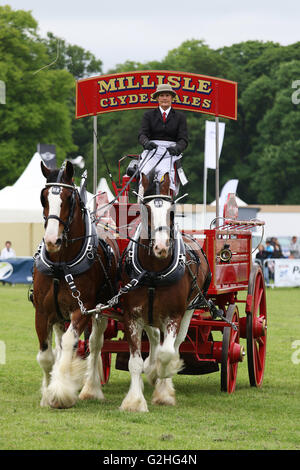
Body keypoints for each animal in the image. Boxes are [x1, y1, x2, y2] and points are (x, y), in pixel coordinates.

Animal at [31, 162, 118, 408]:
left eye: (69, 198)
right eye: (43, 197)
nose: (52, 240)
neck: (61, 265)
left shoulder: (82, 309)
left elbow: (72, 342)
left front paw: (60, 391)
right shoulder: (42, 312)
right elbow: (47, 355)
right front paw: (47, 393)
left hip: (101, 310)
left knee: (95, 344)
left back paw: (91, 388)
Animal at [118, 173, 210, 412]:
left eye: (171, 210)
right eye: (145, 209)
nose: (161, 248)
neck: (153, 271)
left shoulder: (173, 315)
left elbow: (168, 353)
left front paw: (163, 384)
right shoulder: (132, 315)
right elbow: (135, 362)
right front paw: (134, 401)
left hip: (189, 309)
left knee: (174, 345)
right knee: (154, 336)